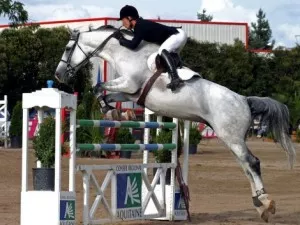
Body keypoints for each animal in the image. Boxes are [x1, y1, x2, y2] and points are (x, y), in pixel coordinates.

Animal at [54, 25, 296, 222]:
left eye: (67, 49)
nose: (58, 75)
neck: (125, 52)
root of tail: (244, 100)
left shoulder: (129, 84)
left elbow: (99, 87)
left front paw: (108, 109)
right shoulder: (131, 93)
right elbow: (104, 92)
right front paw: (110, 109)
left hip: (232, 137)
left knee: (252, 163)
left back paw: (266, 203)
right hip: (230, 138)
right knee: (246, 166)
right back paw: (258, 204)